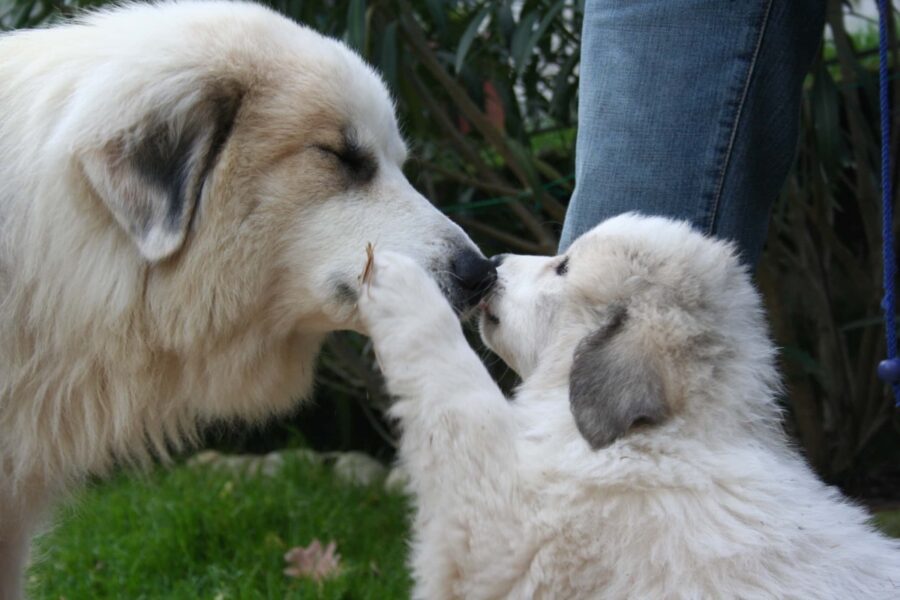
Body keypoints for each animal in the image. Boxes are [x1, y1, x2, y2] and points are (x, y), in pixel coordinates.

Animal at [358, 214, 900, 600]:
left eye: (564, 267)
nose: (492, 261)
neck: (659, 438)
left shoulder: (497, 530)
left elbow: (458, 390)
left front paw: (397, 275)